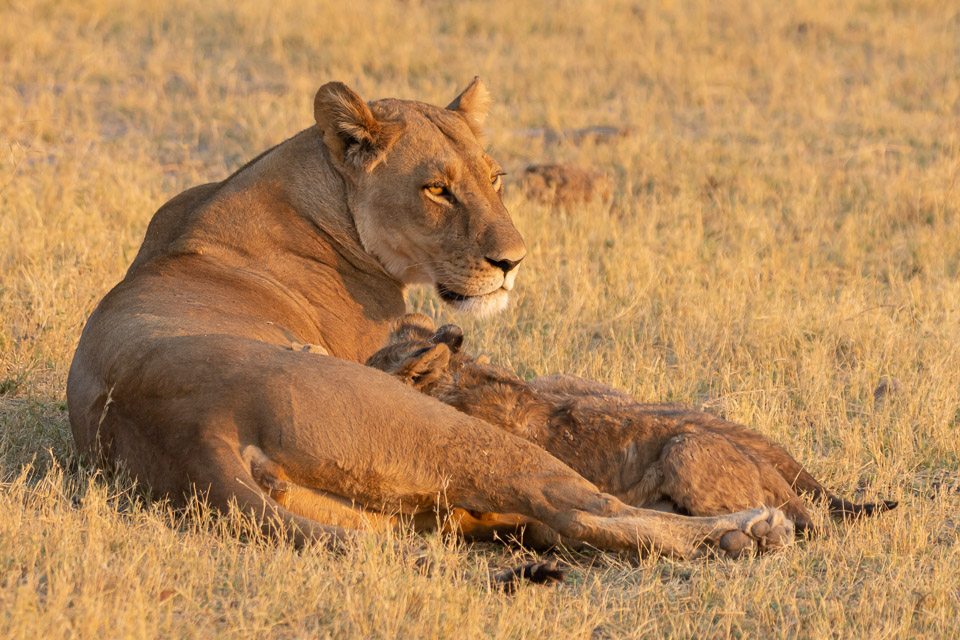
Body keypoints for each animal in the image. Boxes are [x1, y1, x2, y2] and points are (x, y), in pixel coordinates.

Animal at [67, 78, 793, 562]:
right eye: (436, 189)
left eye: (495, 178)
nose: (513, 262)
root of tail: (195, 429)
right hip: (446, 431)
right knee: (579, 506)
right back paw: (746, 528)